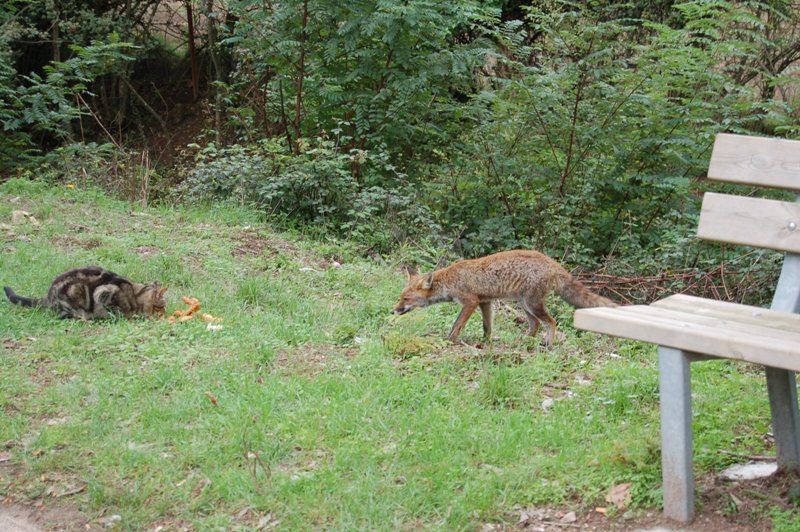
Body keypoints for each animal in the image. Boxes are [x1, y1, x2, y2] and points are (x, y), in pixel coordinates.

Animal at [392, 249, 612, 344]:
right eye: (401, 297)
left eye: (406, 299)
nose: (393, 310)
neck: (449, 281)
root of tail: (551, 262)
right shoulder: (485, 302)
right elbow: (487, 326)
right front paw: (486, 342)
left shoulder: (470, 301)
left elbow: (457, 324)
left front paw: (451, 340)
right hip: (525, 305)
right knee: (535, 324)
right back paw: (524, 342)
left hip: (532, 304)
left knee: (551, 322)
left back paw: (548, 345)